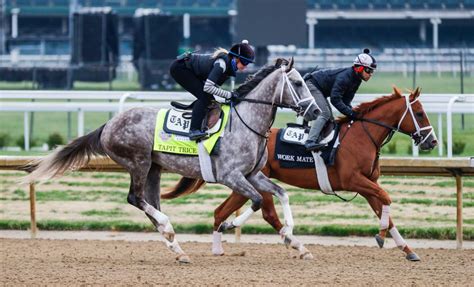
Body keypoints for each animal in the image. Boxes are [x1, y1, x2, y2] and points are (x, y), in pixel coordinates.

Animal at [23, 58, 318, 264]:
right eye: (298, 83)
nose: (315, 111)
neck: (247, 123)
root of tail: (108, 124)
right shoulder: (230, 176)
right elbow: (256, 201)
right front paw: (228, 224)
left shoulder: (253, 175)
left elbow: (282, 194)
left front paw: (291, 236)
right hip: (139, 163)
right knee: (136, 199)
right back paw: (168, 227)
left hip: (154, 169)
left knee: (149, 204)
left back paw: (177, 249)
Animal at [162, 87, 436, 260]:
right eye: (420, 113)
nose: (431, 141)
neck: (361, 136)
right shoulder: (354, 181)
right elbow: (387, 198)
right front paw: (381, 238)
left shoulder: (367, 184)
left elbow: (385, 211)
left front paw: (406, 248)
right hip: (249, 181)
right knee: (263, 213)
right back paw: (289, 242)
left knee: (222, 212)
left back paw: (221, 247)